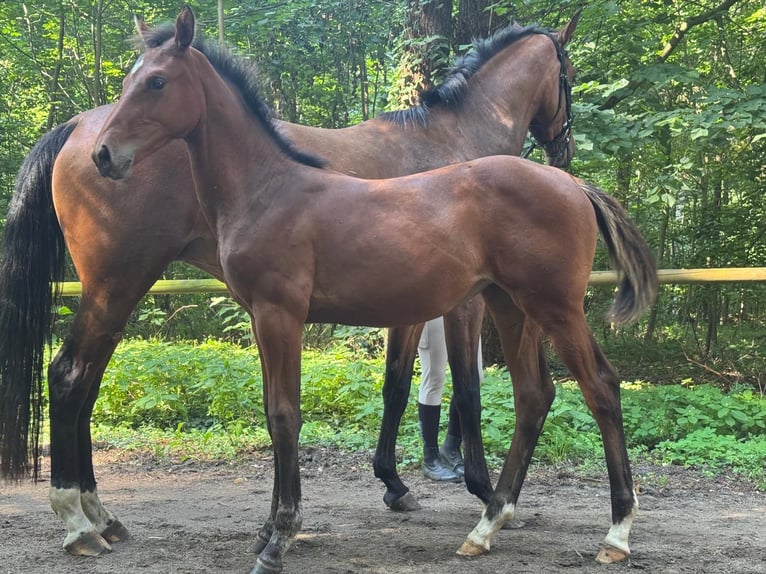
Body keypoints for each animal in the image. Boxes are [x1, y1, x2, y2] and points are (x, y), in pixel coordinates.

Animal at [92, 8, 657, 573]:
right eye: (127, 81)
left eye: (157, 82)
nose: (103, 155)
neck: (268, 190)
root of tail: (572, 184)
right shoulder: (261, 317)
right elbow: (279, 413)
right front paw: (269, 530)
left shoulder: (281, 315)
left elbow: (285, 416)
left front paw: (279, 538)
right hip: (512, 305)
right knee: (534, 396)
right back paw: (487, 524)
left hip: (554, 306)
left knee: (600, 388)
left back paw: (615, 533)